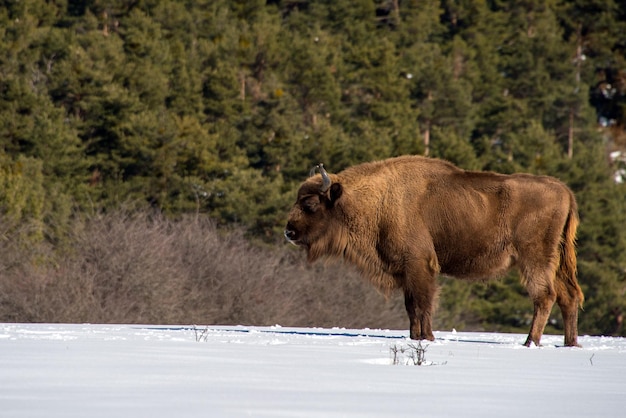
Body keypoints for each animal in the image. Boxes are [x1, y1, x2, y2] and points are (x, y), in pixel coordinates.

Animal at [286, 156, 584, 346]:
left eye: (310, 203)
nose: (289, 232)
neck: (378, 200)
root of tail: (565, 191)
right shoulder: (407, 270)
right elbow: (410, 306)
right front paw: (414, 336)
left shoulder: (420, 265)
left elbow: (422, 302)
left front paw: (426, 337)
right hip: (555, 261)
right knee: (568, 297)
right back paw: (570, 344)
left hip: (534, 258)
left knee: (544, 296)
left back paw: (530, 342)